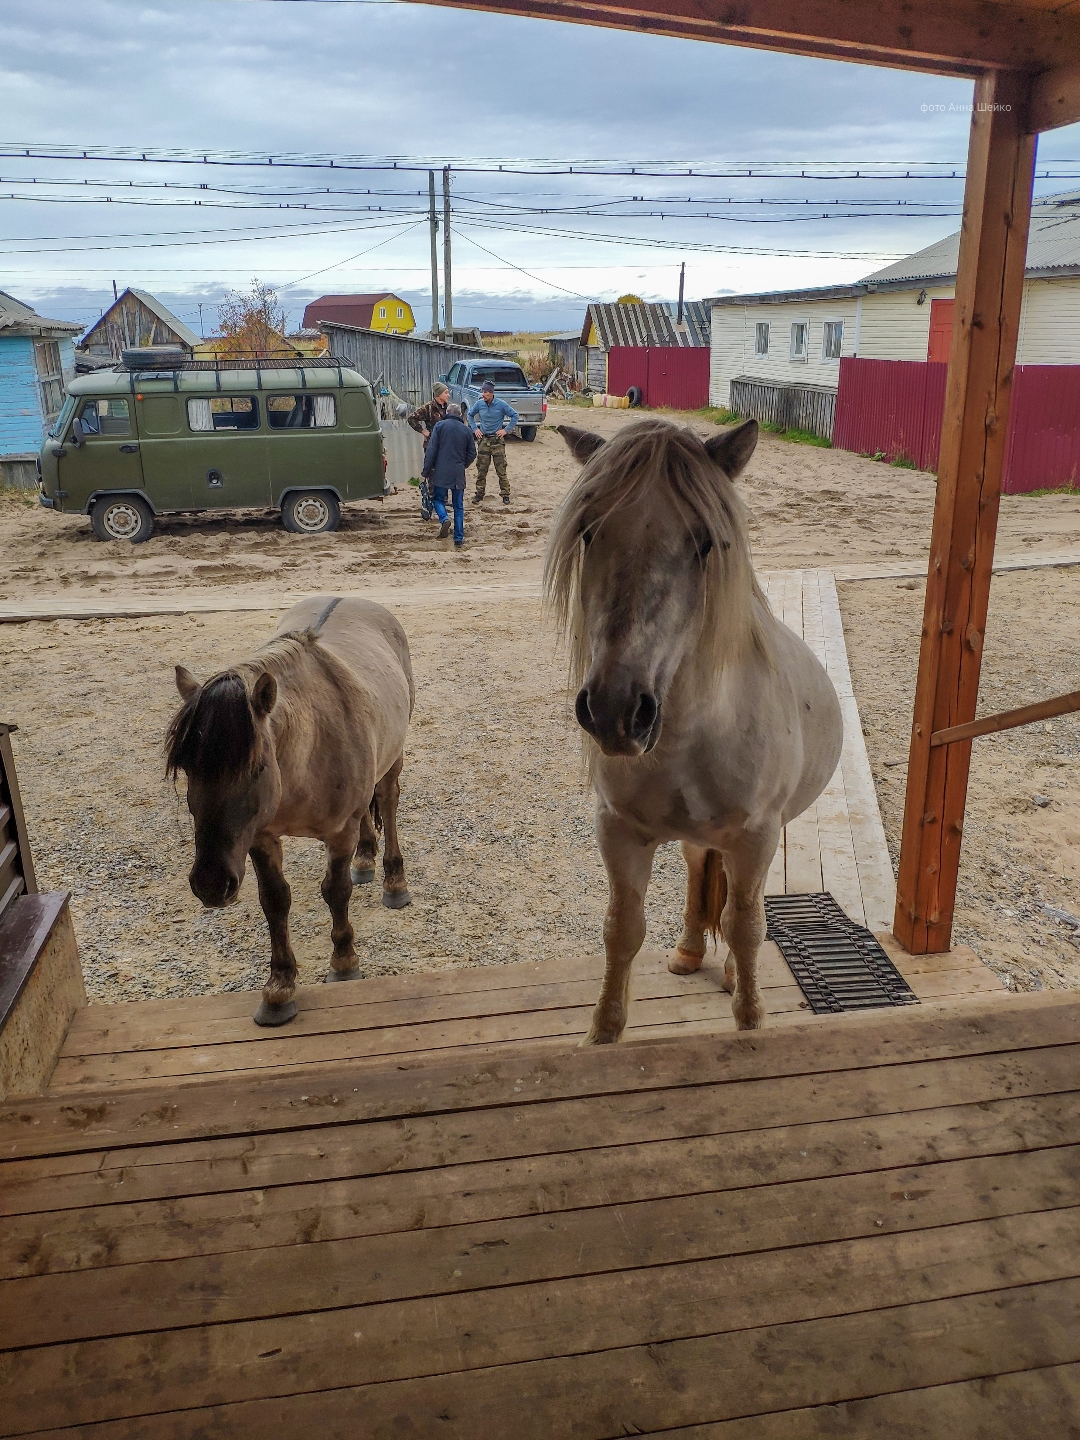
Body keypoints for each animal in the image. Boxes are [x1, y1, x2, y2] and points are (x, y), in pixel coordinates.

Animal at [167, 593, 417, 1025]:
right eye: (186, 767)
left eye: (257, 767)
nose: (211, 884)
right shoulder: (260, 837)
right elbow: (275, 901)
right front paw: (280, 987)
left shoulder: (340, 832)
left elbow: (335, 890)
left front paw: (344, 962)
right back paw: (365, 859)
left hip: (393, 756)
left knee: (386, 799)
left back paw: (393, 881)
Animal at [550, 420, 846, 1042]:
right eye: (589, 531)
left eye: (706, 542)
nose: (615, 710)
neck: (689, 739)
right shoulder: (618, 832)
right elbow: (622, 928)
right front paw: (602, 1034)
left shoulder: (756, 836)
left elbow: (747, 926)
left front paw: (751, 1020)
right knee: (695, 870)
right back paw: (689, 953)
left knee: (738, 906)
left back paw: (730, 972)